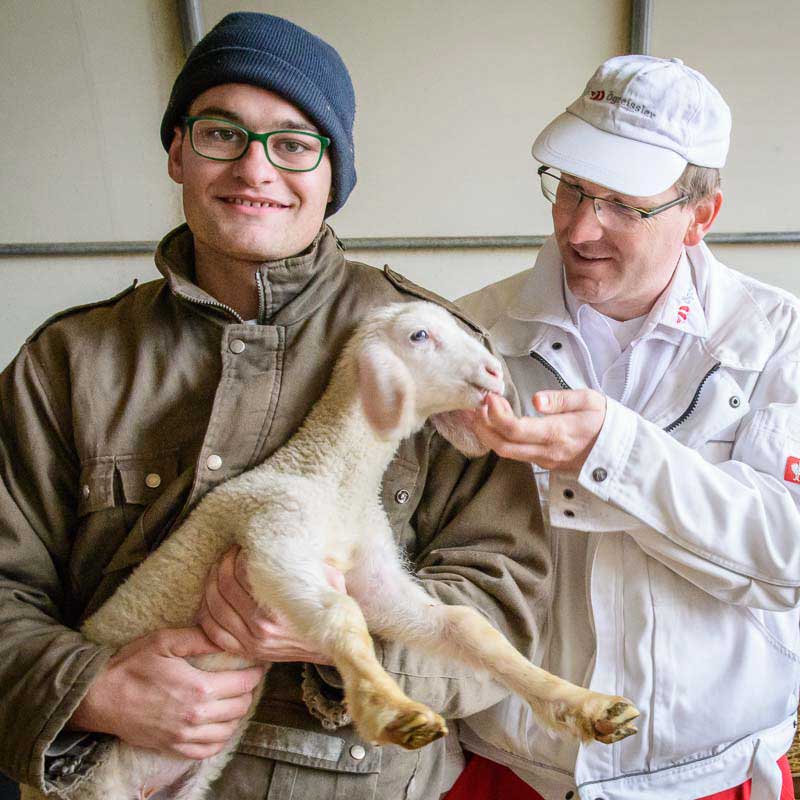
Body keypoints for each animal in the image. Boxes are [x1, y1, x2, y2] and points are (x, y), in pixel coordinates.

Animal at [31, 302, 636, 800]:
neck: (331, 481)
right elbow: (343, 617)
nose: (492, 372)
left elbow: (466, 626)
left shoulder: (376, 579)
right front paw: (391, 711)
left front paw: (587, 706)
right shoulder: (273, 540)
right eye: (420, 335)